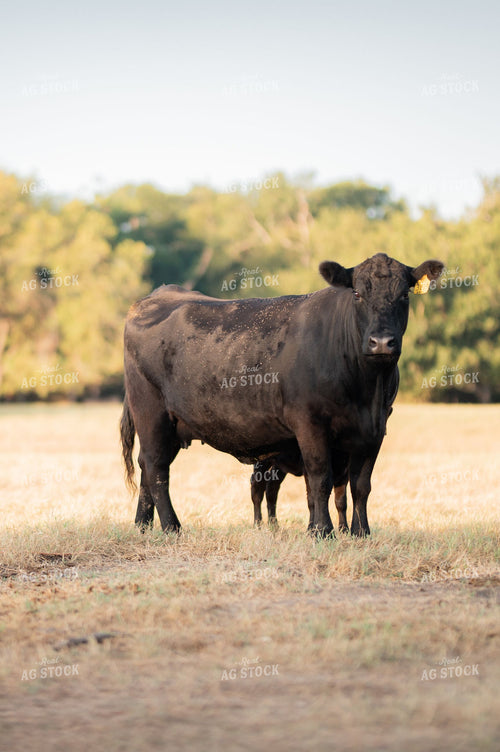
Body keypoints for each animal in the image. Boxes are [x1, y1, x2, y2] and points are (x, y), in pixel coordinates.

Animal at [121, 253, 443, 537]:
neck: (367, 390)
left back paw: (142, 525)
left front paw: (361, 532)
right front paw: (322, 532)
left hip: (172, 425)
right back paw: (171, 527)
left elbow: (360, 485)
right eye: (357, 294)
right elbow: (320, 480)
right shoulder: (309, 422)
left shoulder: (375, 428)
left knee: (147, 467)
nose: (382, 342)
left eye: (404, 296)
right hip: (151, 411)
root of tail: (155, 296)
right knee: (156, 467)